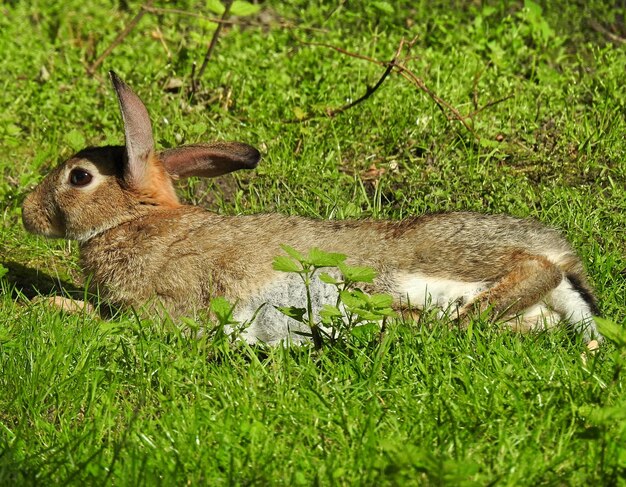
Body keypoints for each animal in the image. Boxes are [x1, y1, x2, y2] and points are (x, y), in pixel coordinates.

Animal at [23, 71, 600, 346]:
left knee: (533, 269)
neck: (135, 221)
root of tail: (566, 258)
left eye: (79, 177)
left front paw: (55, 306)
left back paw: (463, 316)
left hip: (444, 256)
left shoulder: (164, 302)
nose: (27, 213)